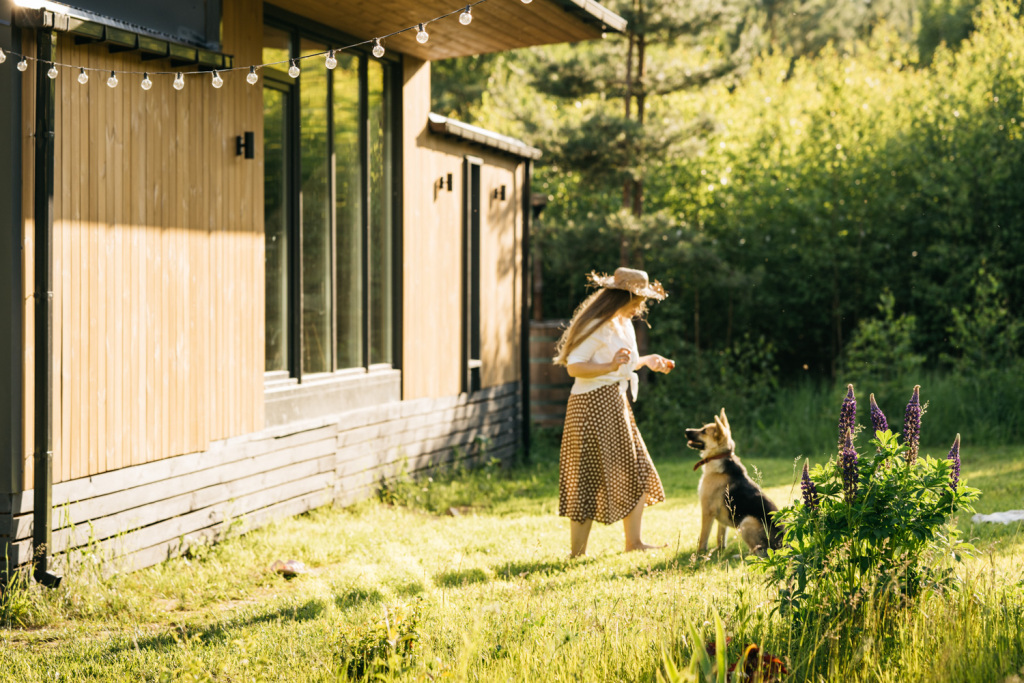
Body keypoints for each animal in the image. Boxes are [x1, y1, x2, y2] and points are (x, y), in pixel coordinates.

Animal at [688, 411, 782, 557]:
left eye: (703, 431)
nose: (686, 430)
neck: (720, 456)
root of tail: (784, 546)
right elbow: (720, 536)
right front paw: (720, 550)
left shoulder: (707, 511)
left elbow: (703, 537)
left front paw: (700, 554)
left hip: (746, 522)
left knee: (760, 554)